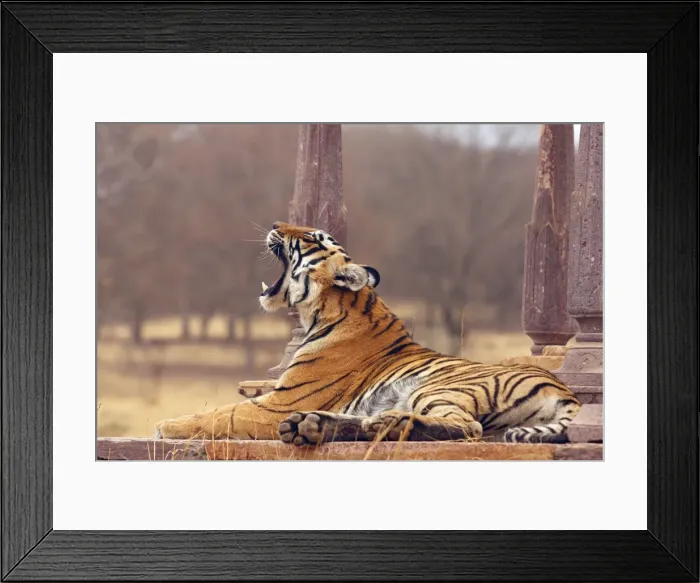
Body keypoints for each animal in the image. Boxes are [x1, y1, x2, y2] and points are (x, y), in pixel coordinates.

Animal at [154, 221, 581, 445]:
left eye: (312, 237)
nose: (275, 224)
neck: (320, 311)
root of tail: (564, 389)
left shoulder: (279, 402)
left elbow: (221, 413)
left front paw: (167, 426)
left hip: (439, 389)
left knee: (466, 428)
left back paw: (383, 424)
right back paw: (316, 425)